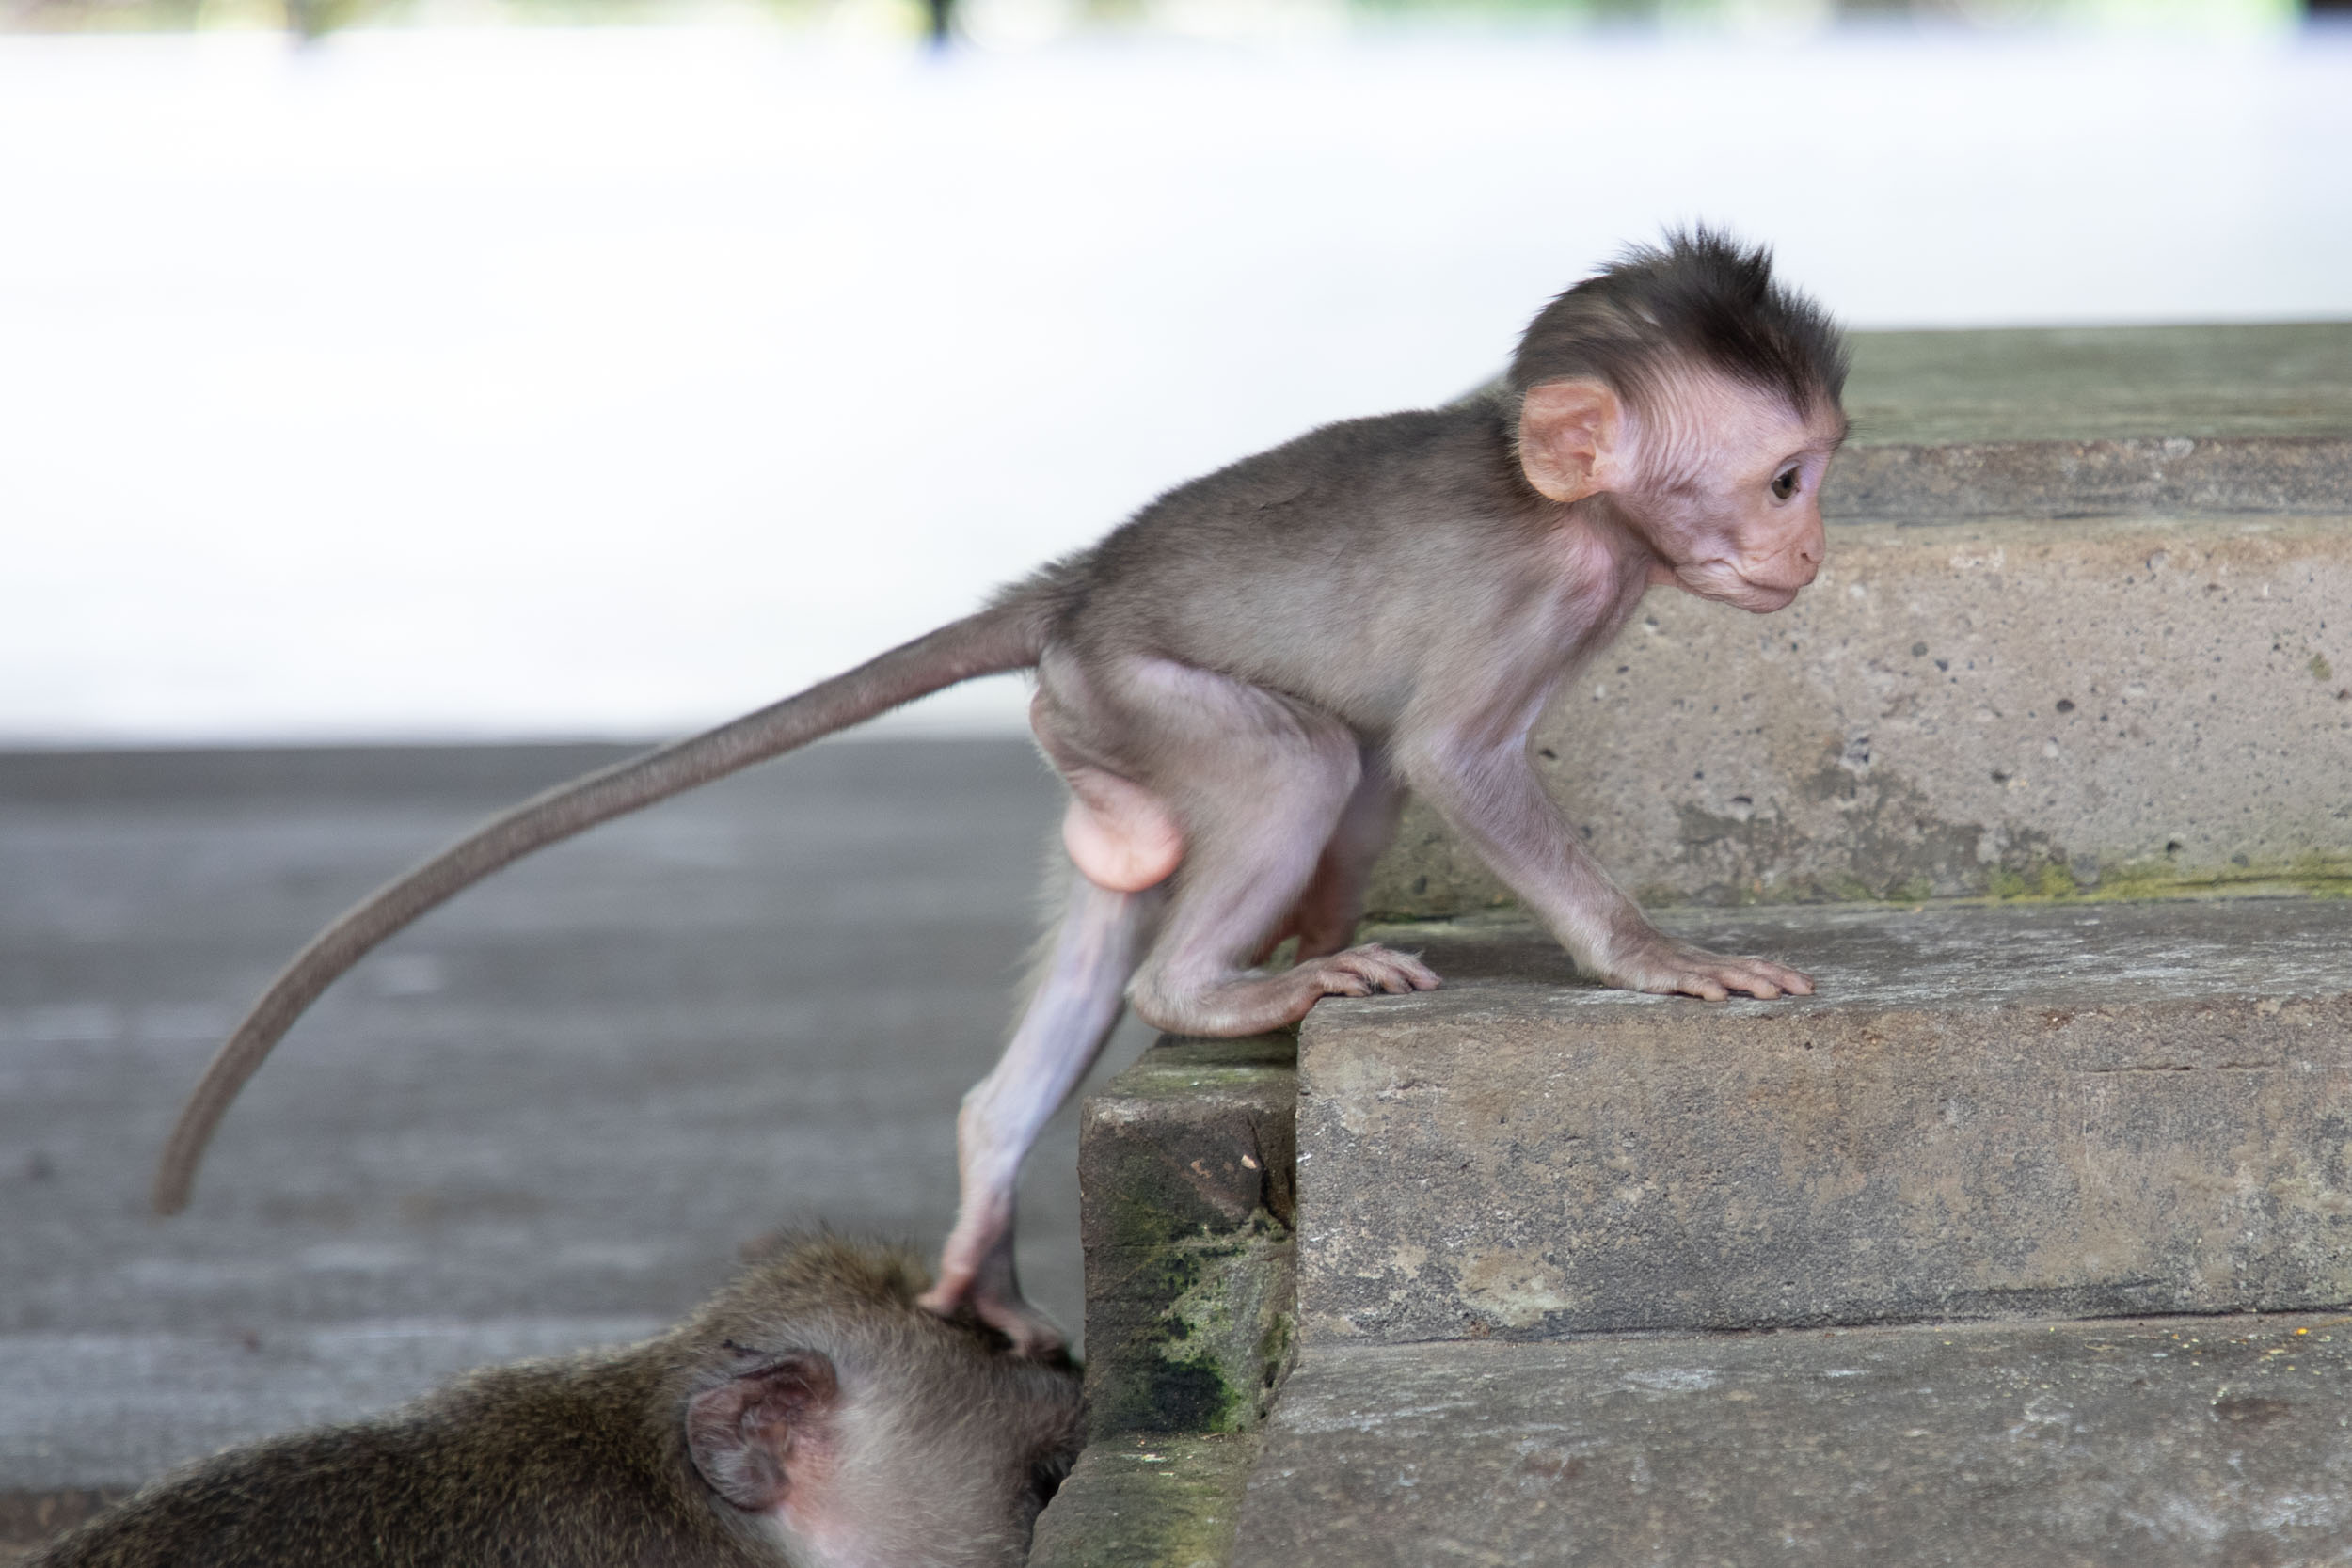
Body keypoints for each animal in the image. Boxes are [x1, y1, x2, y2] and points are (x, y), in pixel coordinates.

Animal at [150, 227, 1848, 1358]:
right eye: (1783, 476)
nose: (1812, 544)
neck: (1581, 514)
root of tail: (1070, 589)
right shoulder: (1535, 594)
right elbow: (1443, 760)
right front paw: (1656, 959)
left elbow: (1389, 786)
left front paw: (1320, 930)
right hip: (1145, 690)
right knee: (1298, 765)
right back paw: (1204, 990)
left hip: (1096, 729)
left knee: (1136, 889)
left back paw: (993, 1170)